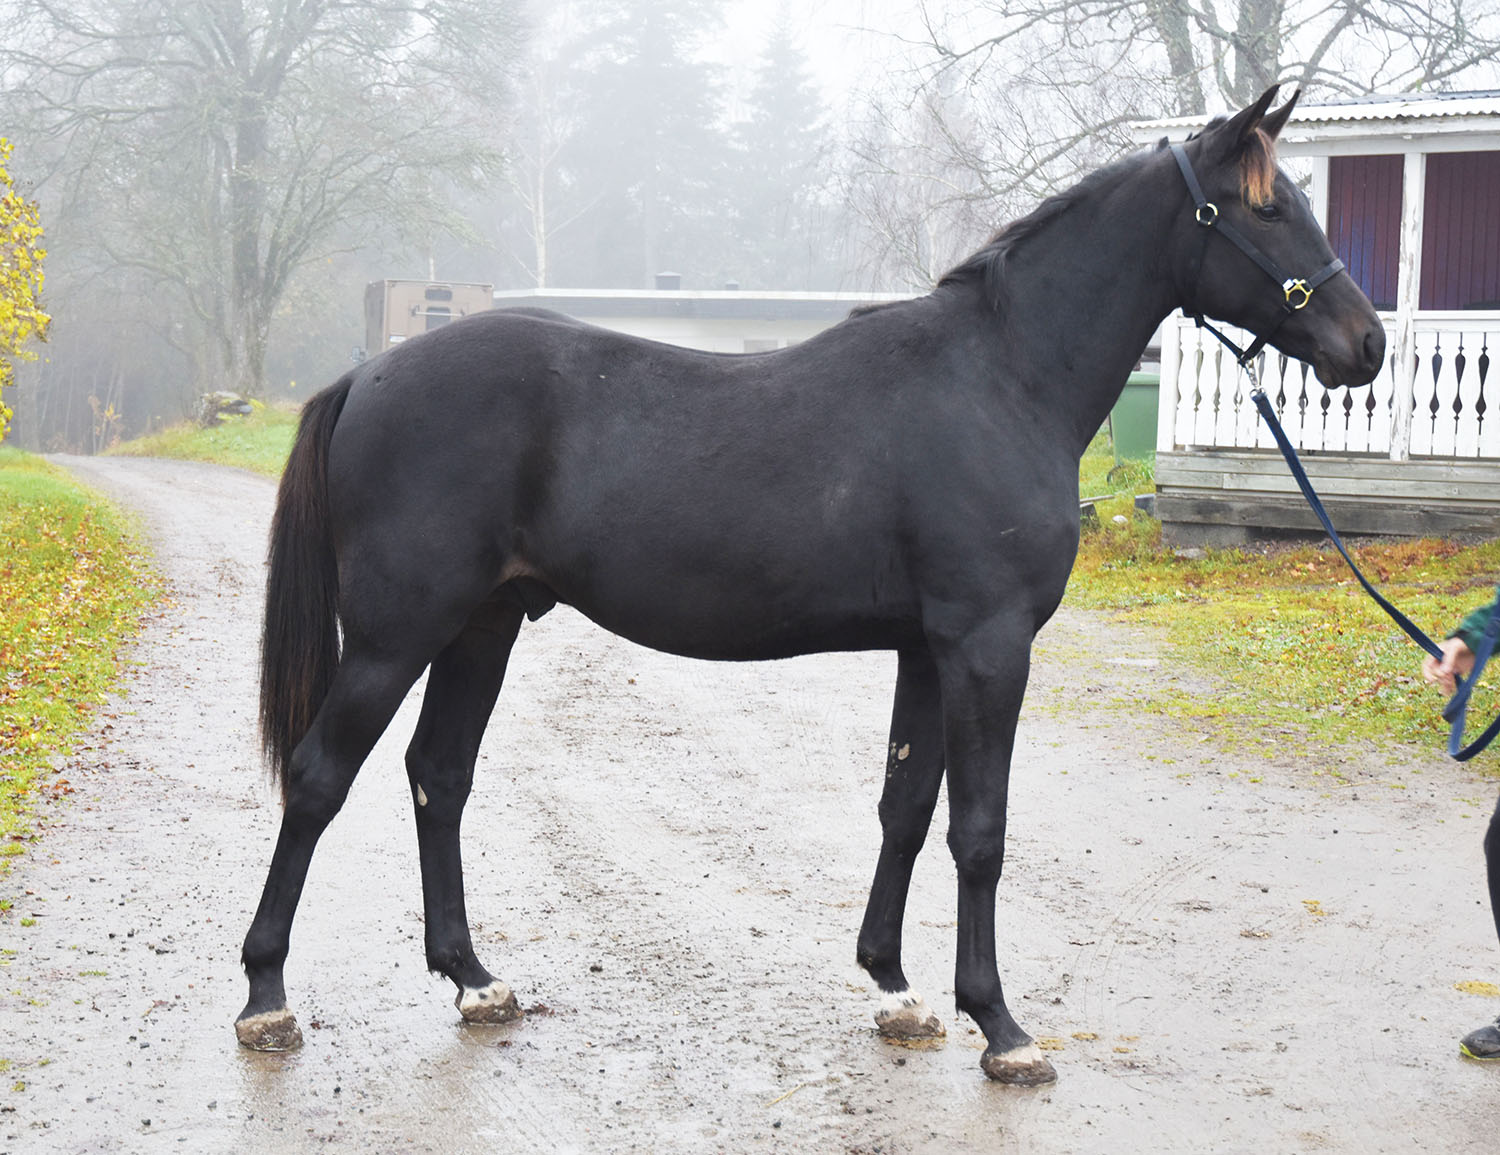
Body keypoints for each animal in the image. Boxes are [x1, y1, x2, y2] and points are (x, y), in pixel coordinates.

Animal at [237, 87, 1380, 1080]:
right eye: (1266, 206)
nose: (1364, 346)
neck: (1002, 378)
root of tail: (369, 374)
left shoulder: (929, 647)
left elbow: (906, 806)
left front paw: (896, 989)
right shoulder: (988, 645)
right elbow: (980, 831)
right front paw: (1001, 1028)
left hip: (483, 625)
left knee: (440, 775)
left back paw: (475, 980)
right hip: (396, 635)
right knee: (321, 777)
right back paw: (266, 998)